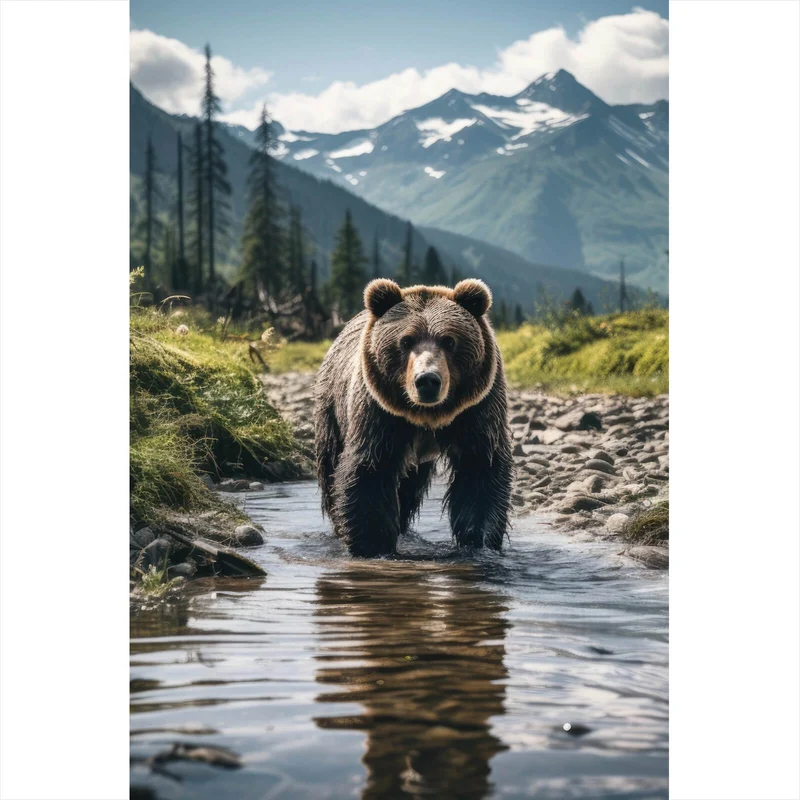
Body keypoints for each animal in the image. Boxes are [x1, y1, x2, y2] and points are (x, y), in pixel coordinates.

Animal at [313, 278, 513, 558]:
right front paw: (372, 545)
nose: (427, 380)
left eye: (449, 341)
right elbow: (370, 470)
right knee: (331, 466)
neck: (427, 416)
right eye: (406, 341)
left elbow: (480, 471)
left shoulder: (478, 409)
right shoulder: (379, 413)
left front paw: (480, 543)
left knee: (409, 487)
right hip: (332, 408)